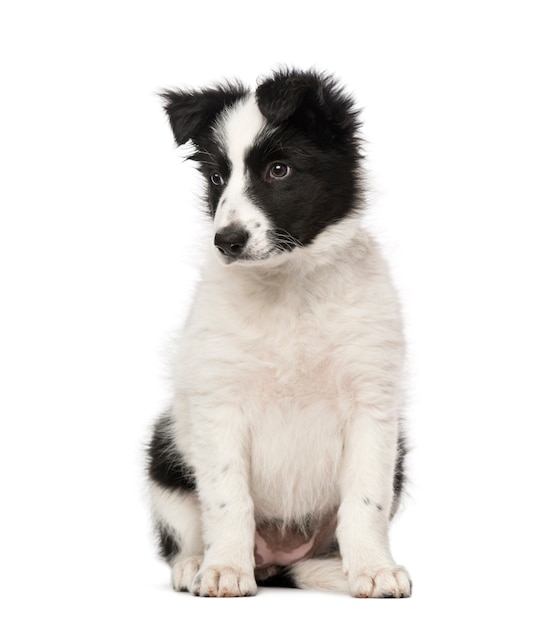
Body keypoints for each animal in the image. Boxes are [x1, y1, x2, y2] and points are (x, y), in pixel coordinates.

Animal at [147, 68, 410, 596]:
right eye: (217, 178)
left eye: (279, 171)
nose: (226, 241)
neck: (288, 287)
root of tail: (278, 558)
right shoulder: (217, 400)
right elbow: (228, 497)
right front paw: (225, 569)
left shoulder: (372, 402)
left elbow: (365, 500)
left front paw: (374, 569)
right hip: (163, 454)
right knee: (185, 531)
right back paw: (197, 564)